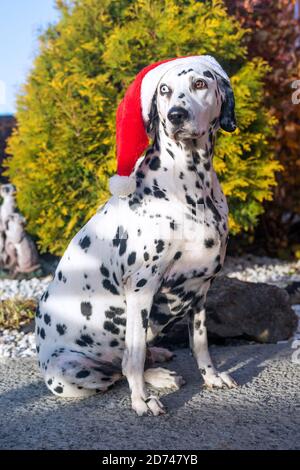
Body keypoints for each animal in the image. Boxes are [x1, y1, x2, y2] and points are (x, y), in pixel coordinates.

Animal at [35, 56, 237, 414]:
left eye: (200, 83)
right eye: (164, 90)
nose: (176, 116)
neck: (191, 185)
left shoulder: (201, 289)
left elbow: (200, 344)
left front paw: (212, 377)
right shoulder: (142, 289)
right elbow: (133, 358)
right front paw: (141, 400)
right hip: (70, 371)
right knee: (119, 367)